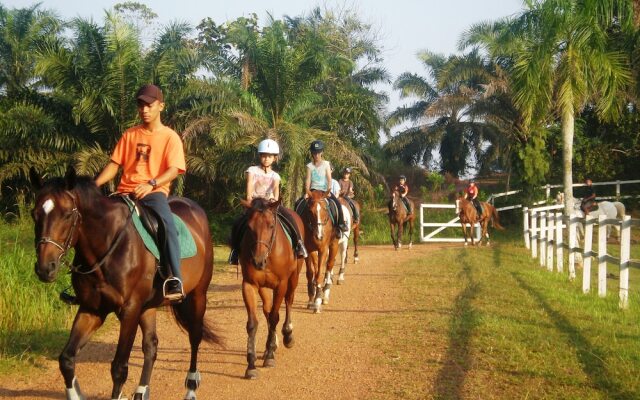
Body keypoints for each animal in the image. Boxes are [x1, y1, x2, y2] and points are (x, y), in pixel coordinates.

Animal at [29, 166, 220, 400]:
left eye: (67, 215)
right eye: (34, 214)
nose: (45, 268)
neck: (108, 246)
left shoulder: (130, 310)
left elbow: (119, 368)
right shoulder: (92, 309)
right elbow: (66, 359)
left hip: (198, 295)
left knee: (195, 336)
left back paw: (191, 388)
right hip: (148, 306)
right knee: (151, 346)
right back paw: (142, 390)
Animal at [239, 198, 304, 380]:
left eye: (271, 225)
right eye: (249, 227)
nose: (258, 261)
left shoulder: (281, 284)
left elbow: (275, 317)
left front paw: (269, 356)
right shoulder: (249, 284)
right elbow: (253, 323)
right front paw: (251, 364)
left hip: (293, 278)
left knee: (288, 301)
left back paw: (287, 335)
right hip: (264, 288)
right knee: (267, 309)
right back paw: (273, 344)